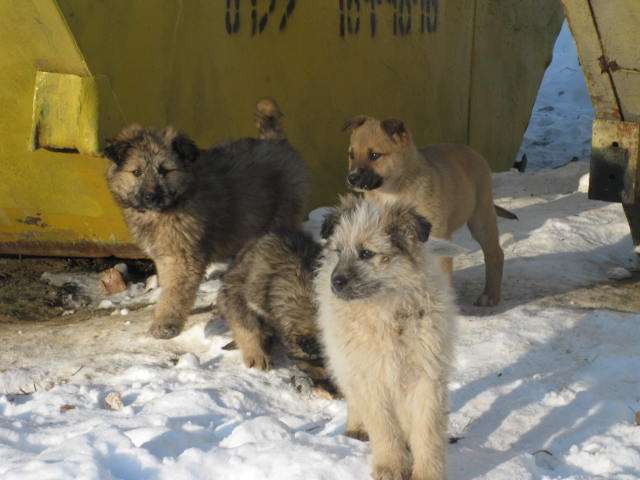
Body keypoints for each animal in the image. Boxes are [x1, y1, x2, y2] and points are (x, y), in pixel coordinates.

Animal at [316, 196, 456, 480]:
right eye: (339, 251)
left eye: (366, 253)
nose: (335, 283)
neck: (387, 311)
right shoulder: (371, 377)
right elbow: (384, 429)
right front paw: (390, 466)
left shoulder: (427, 375)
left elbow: (427, 431)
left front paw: (427, 471)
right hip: (343, 361)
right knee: (353, 397)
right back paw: (357, 427)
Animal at [344, 116, 516, 306]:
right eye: (351, 155)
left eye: (374, 155)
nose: (351, 178)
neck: (392, 191)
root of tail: (473, 151)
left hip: (481, 219)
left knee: (495, 254)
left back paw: (490, 295)